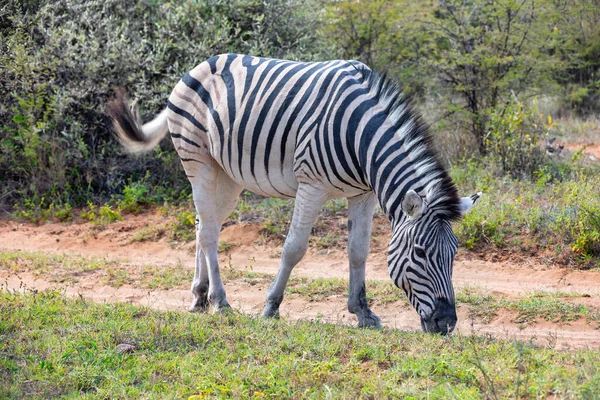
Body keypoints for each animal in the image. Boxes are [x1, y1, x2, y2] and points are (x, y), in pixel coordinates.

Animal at [109, 53, 482, 334]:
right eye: (420, 252)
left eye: (454, 253)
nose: (447, 323)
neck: (362, 141)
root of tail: (200, 65)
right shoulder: (311, 184)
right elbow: (294, 248)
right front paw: (271, 306)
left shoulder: (363, 194)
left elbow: (358, 252)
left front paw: (362, 312)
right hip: (197, 160)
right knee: (211, 233)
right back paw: (220, 300)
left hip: (226, 175)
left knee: (203, 226)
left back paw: (199, 296)